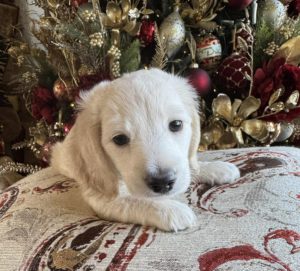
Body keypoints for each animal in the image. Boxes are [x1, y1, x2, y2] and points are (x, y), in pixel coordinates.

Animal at [51, 69, 239, 233]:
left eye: (176, 124)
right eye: (120, 139)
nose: (163, 182)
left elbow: (190, 166)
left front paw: (214, 168)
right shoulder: (101, 196)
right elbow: (134, 201)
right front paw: (171, 210)